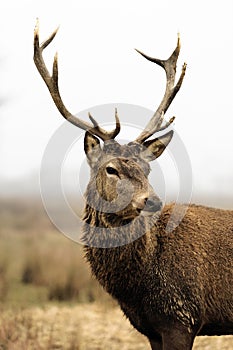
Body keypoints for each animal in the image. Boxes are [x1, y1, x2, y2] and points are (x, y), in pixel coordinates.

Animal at [33, 20, 233, 348]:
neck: (137, 289)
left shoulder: (181, 317)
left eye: (147, 168)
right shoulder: (151, 328)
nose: (151, 200)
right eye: (111, 169)